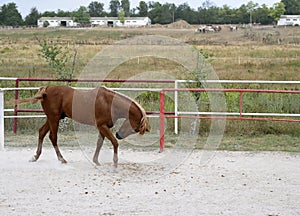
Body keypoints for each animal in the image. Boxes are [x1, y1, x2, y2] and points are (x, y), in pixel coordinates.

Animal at [19, 85, 150, 166]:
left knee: (42, 132)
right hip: (54, 119)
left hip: (53, 118)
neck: (109, 102)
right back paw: (62, 159)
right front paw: (115, 162)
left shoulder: (103, 127)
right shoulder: (102, 126)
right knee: (53, 137)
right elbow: (114, 142)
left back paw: (35, 157)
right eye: (135, 128)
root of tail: (47, 89)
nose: (119, 135)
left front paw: (96, 161)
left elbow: (99, 143)